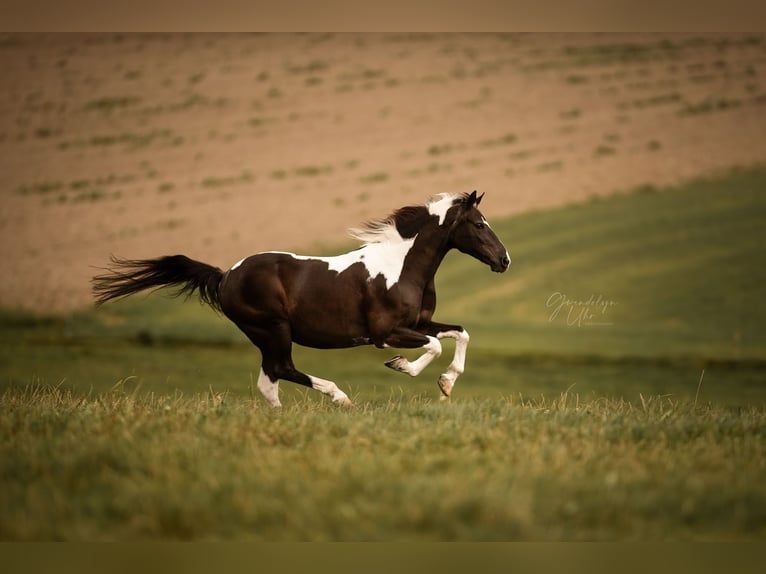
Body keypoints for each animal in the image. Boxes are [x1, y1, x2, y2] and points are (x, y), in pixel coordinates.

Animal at [93, 191, 512, 408]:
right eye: (479, 225)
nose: (504, 260)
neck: (401, 267)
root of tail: (227, 275)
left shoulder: (420, 323)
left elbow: (460, 333)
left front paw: (447, 384)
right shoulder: (386, 332)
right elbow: (432, 347)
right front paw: (401, 366)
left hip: (267, 334)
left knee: (269, 380)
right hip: (272, 328)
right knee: (282, 370)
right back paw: (339, 397)